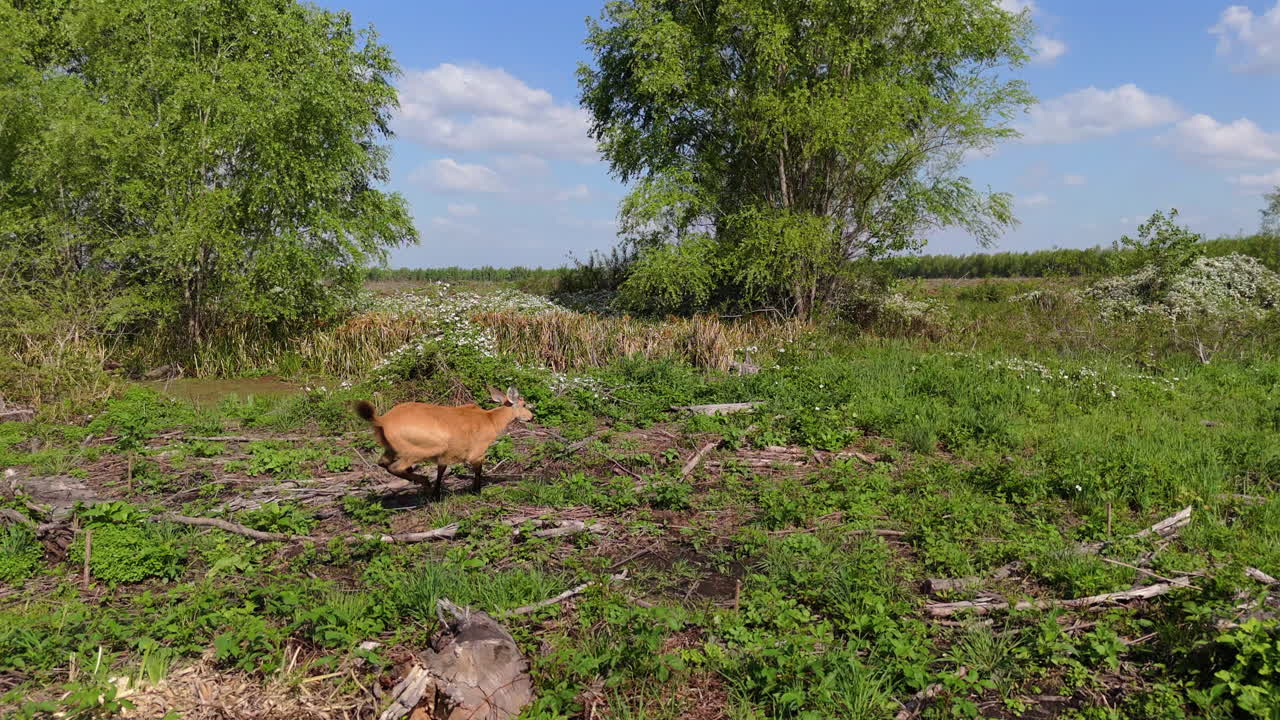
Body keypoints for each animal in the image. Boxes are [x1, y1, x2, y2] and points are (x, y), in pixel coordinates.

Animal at [353, 386, 533, 501]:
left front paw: (437, 494)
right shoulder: (477, 452)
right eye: (524, 404)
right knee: (395, 467)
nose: (531, 417)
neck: (490, 420)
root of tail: (383, 420)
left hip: (390, 448)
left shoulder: (447, 455)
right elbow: (478, 471)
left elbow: (441, 471)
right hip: (423, 449)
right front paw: (477, 491)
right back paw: (424, 481)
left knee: (382, 463)